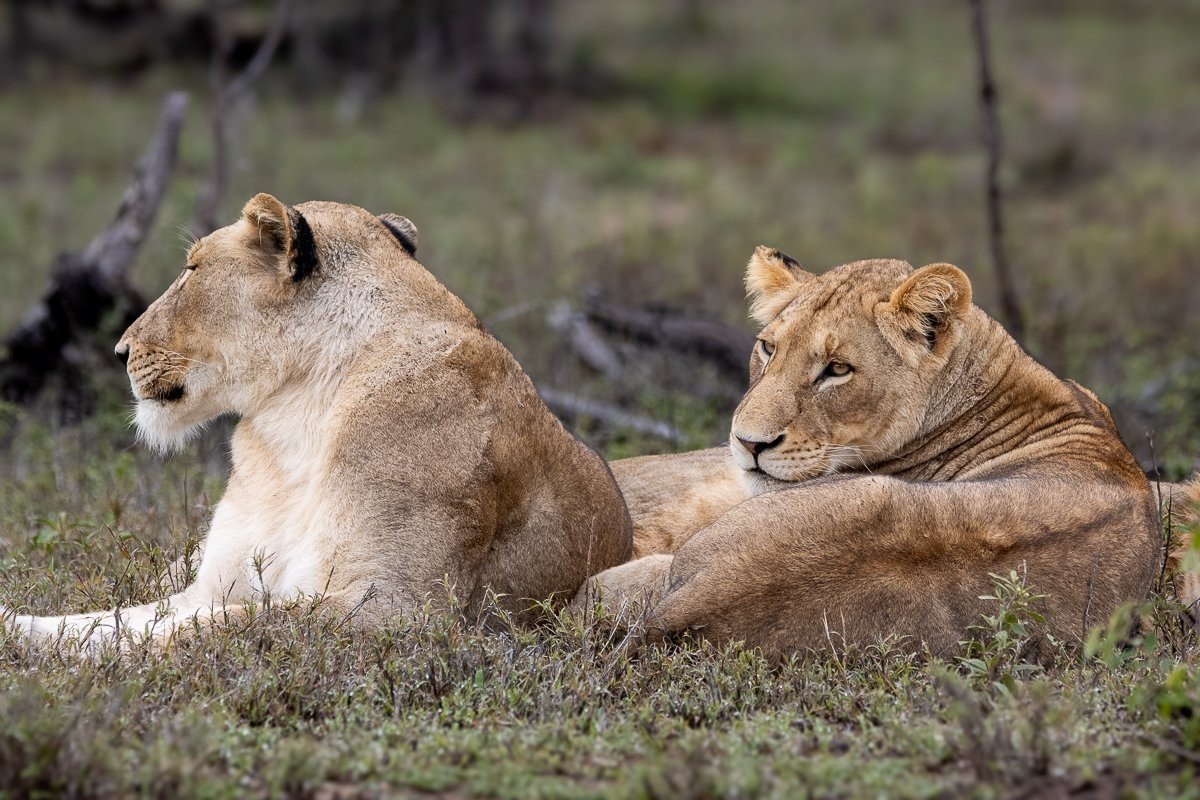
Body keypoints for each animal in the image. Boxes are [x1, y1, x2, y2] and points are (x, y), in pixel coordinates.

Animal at [4, 194, 632, 647]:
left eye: (191, 268)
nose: (118, 350)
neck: (294, 420)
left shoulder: (402, 608)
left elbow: (209, 626)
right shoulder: (214, 583)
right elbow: (112, 617)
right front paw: (21, 631)